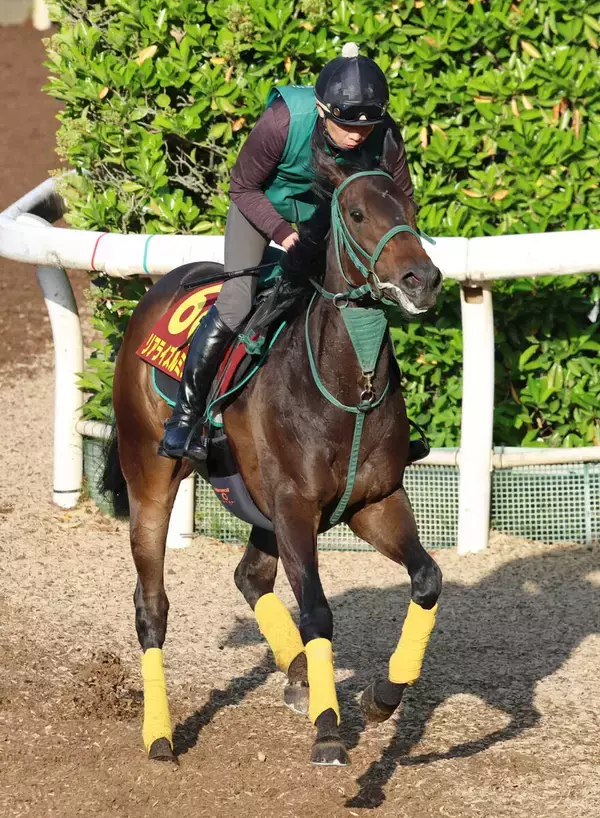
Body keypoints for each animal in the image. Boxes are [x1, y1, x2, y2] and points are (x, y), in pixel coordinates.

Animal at [106, 131, 443, 767]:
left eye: (411, 207)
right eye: (356, 213)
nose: (422, 279)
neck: (347, 386)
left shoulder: (375, 502)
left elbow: (428, 579)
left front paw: (382, 696)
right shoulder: (294, 506)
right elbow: (316, 610)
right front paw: (329, 727)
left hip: (256, 502)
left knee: (250, 577)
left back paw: (299, 674)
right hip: (152, 480)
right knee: (152, 606)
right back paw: (159, 735)